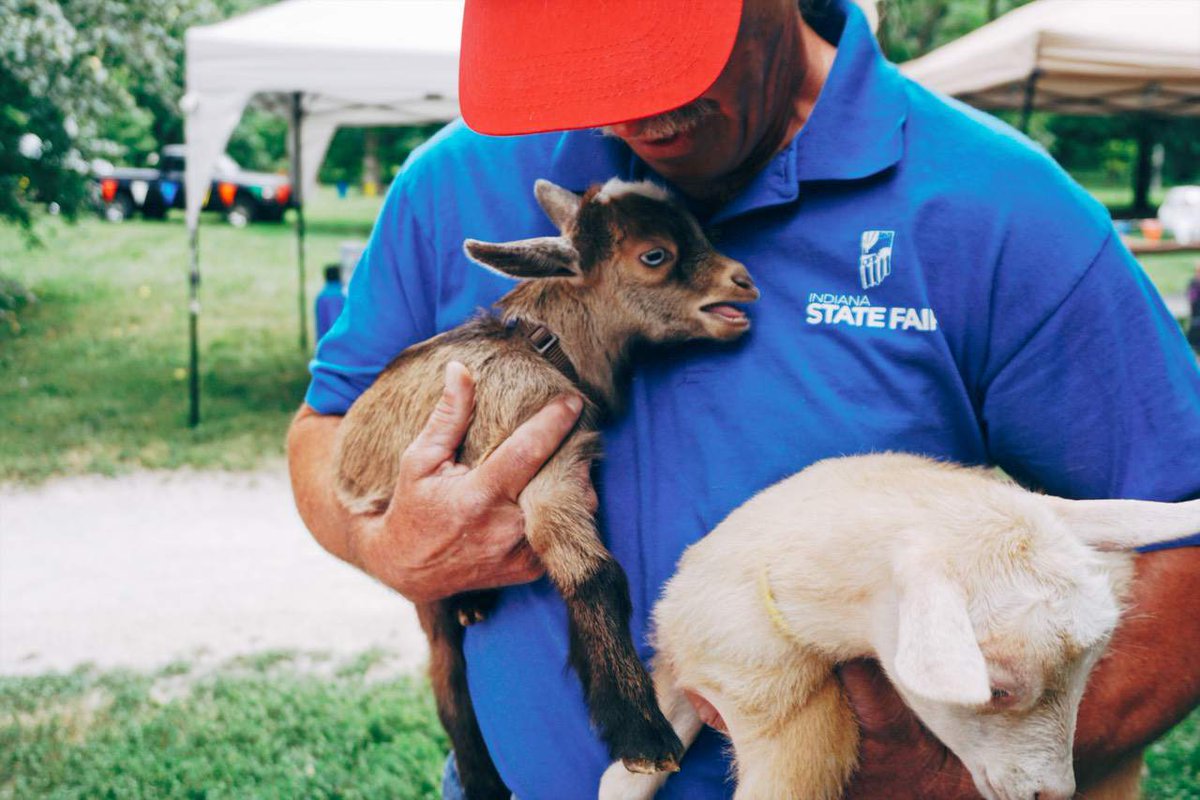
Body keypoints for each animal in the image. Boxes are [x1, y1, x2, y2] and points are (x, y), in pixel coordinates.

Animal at [334, 177, 760, 799]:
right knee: (447, 671)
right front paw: (641, 733)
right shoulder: (542, 465)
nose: (743, 281)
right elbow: (595, 574)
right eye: (655, 255)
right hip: (418, 575)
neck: (548, 348)